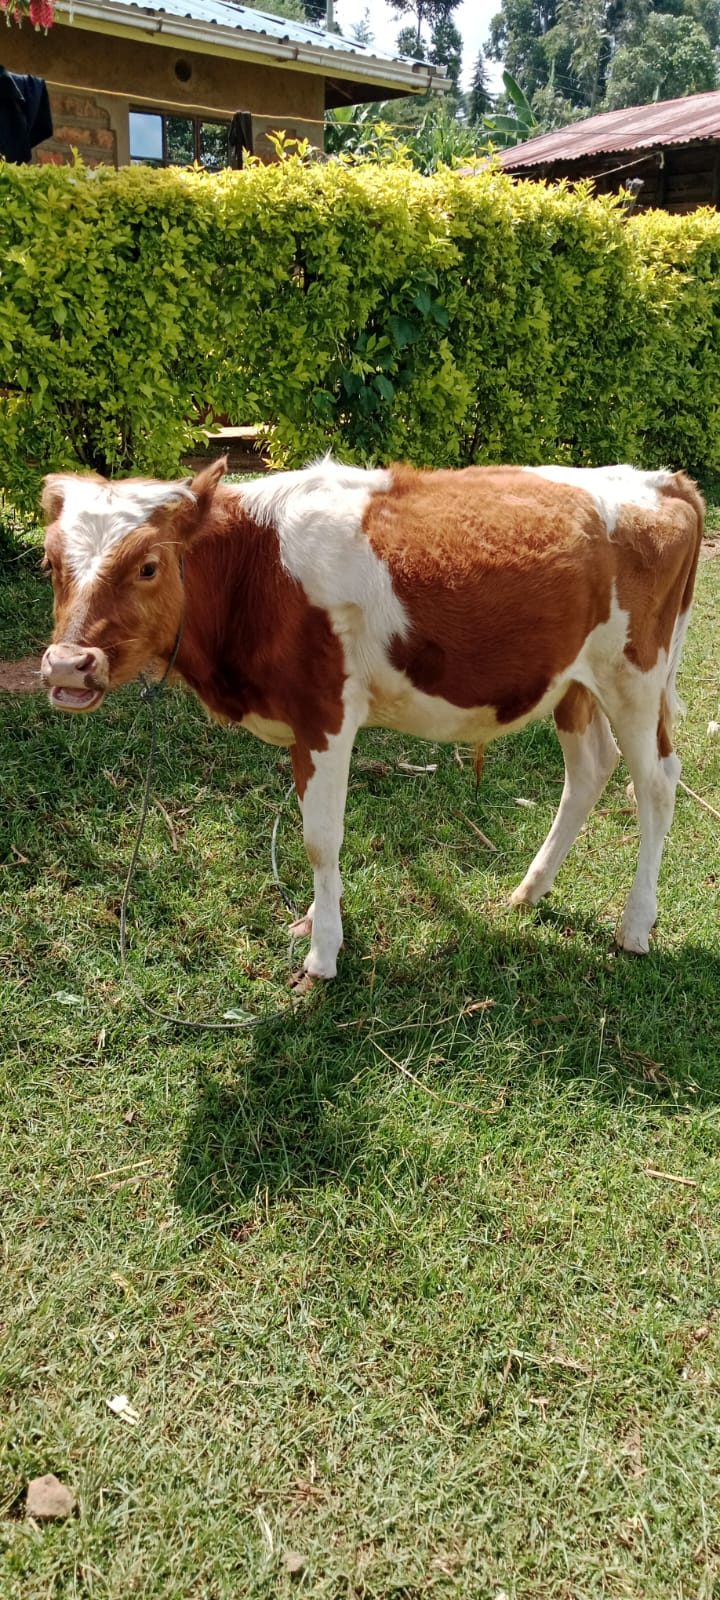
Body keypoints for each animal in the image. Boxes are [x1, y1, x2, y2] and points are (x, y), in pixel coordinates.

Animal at [40, 456, 703, 981]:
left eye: (148, 565)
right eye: (50, 563)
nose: (69, 665)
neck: (256, 567)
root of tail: (663, 480)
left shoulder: (325, 715)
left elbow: (320, 838)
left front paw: (322, 954)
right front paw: (315, 922)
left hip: (635, 677)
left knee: (655, 783)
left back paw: (635, 925)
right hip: (573, 682)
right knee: (591, 770)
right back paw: (529, 890)